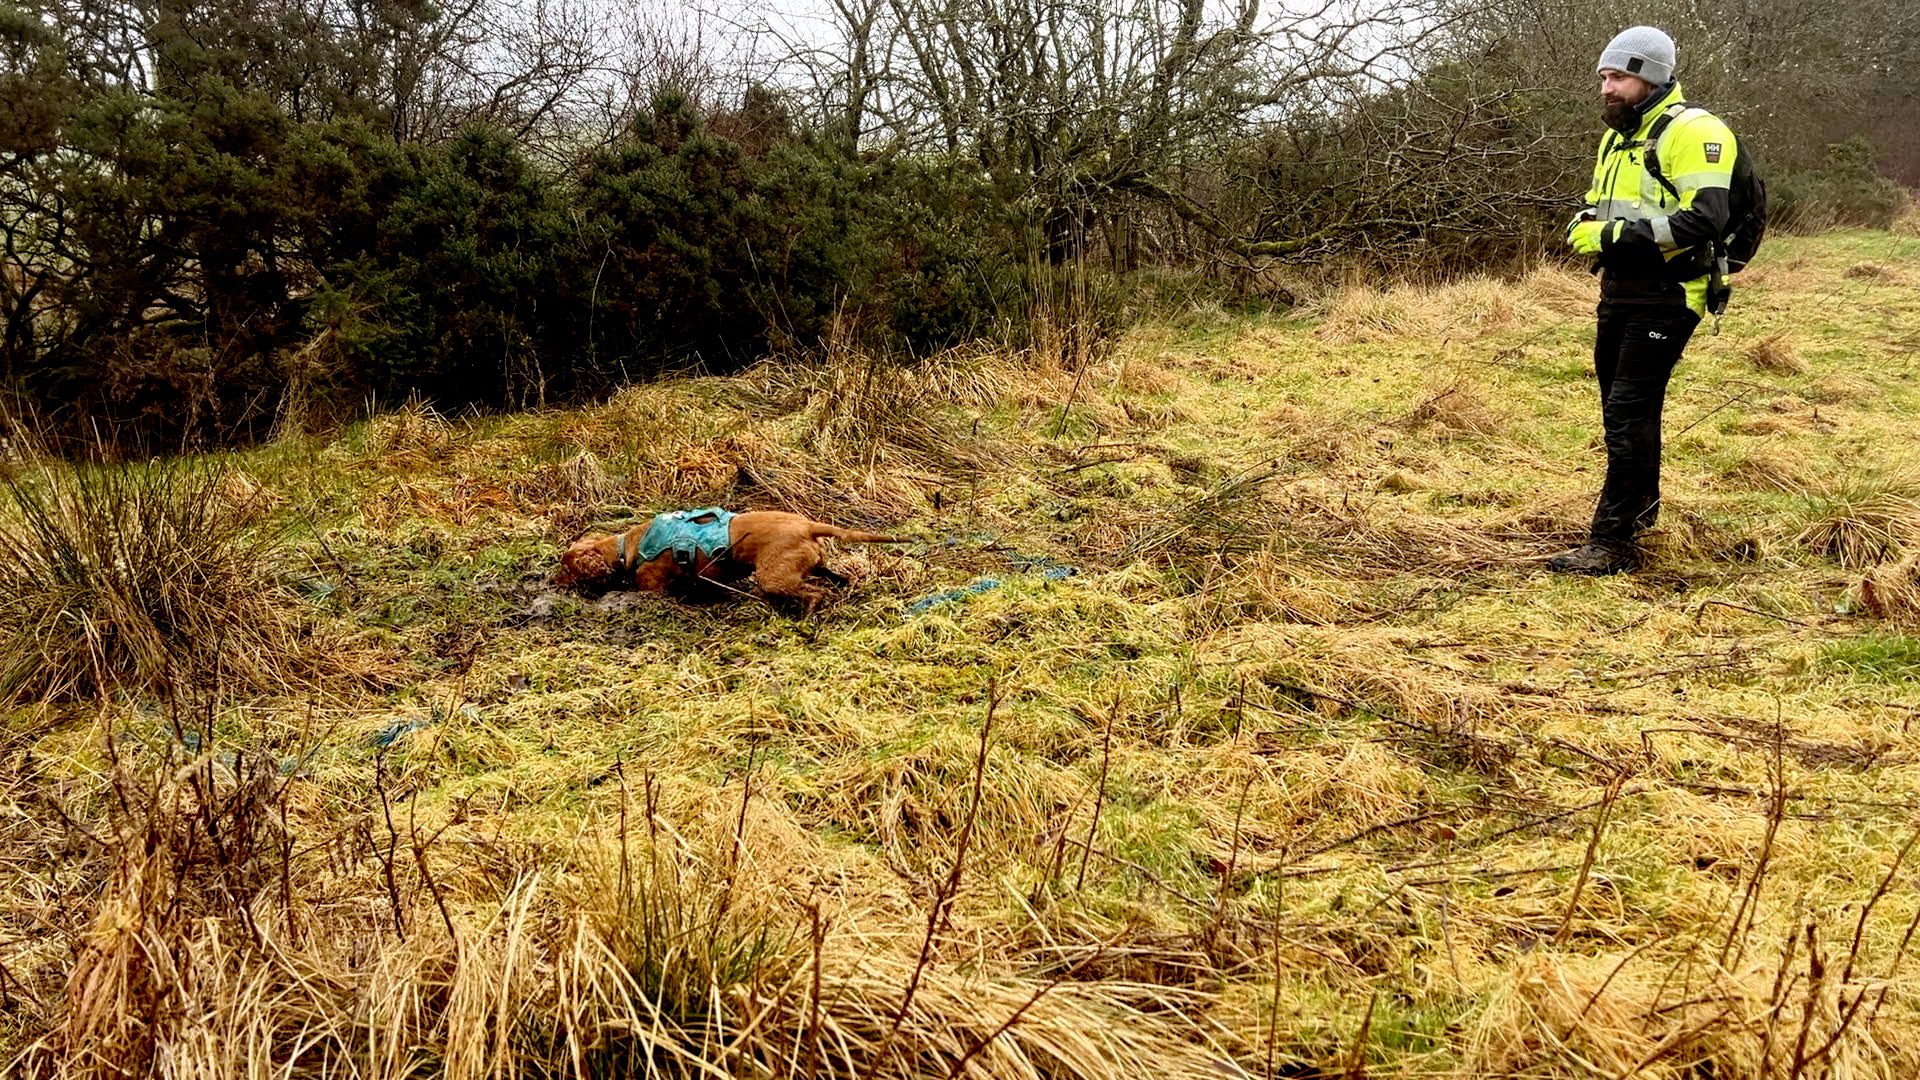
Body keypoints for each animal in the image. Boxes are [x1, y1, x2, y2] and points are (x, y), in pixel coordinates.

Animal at [556, 507, 906, 611]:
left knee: (816, 593)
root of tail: (808, 525)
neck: (626, 546)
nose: (552, 581)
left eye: (566, 569)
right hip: (815, 563)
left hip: (773, 577)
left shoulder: (652, 586)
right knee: (840, 578)